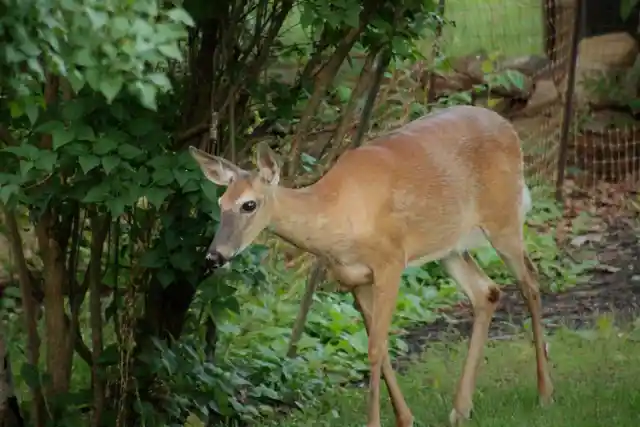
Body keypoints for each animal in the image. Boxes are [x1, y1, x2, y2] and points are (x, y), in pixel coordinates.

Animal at [188, 104, 552, 427]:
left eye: (249, 204)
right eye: (221, 202)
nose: (214, 255)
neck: (337, 214)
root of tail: (510, 128)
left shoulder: (390, 262)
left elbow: (375, 348)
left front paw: (376, 422)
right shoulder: (353, 279)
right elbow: (381, 348)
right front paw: (405, 419)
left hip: (503, 218)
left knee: (531, 282)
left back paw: (544, 392)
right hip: (449, 245)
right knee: (487, 292)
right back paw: (461, 410)